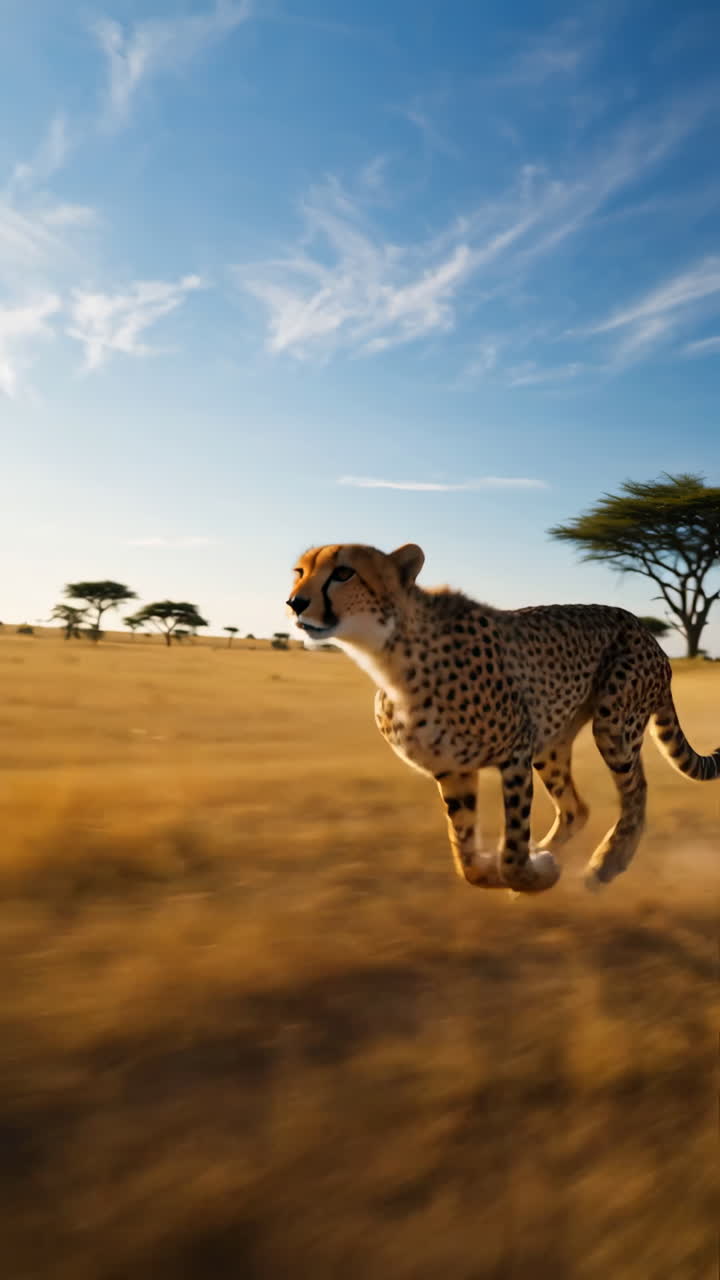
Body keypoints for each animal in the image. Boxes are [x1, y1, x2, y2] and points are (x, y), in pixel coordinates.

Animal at [286, 541, 719, 895]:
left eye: (344, 573)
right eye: (300, 571)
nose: (294, 602)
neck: (390, 656)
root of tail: (649, 635)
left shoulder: (514, 754)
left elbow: (512, 847)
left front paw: (529, 874)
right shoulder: (453, 770)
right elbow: (466, 859)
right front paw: (523, 870)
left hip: (613, 721)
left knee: (636, 792)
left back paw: (607, 865)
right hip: (551, 743)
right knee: (577, 808)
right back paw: (550, 851)